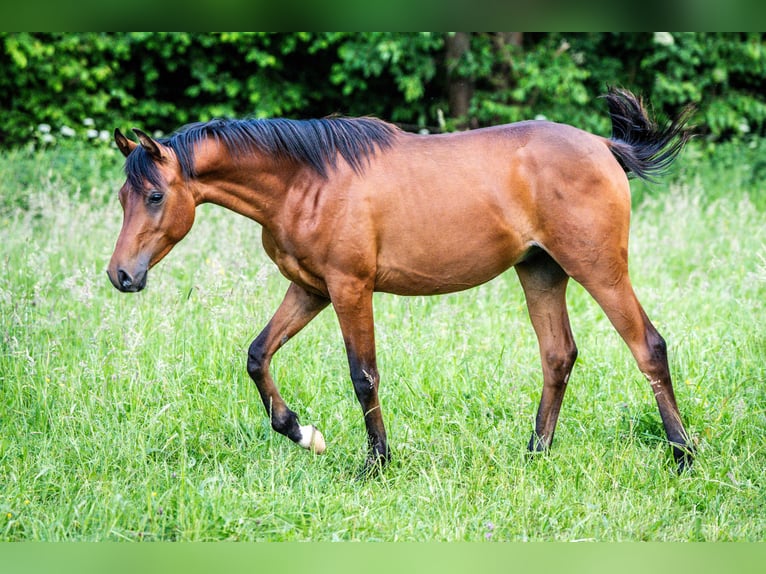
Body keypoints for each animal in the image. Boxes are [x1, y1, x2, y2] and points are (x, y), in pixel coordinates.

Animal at [109, 89, 704, 476]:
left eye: (155, 195)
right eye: (122, 197)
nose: (121, 275)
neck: (306, 179)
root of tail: (605, 147)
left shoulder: (350, 289)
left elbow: (363, 376)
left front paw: (376, 464)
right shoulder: (311, 289)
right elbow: (258, 356)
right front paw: (302, 432)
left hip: (598, 269)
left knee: (648, 347)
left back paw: (683, 457)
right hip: (540, 271)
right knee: (558, 355)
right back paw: (536, 454)